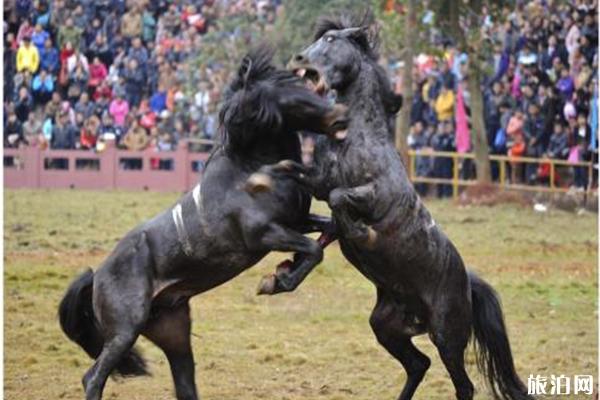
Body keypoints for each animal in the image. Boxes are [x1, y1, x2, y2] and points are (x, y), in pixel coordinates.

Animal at [58, 47, 346, 400]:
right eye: (292, 98)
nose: (340, 115)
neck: (249, 170)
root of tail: (97, 276)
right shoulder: (264, 234)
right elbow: (314, 251)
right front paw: (276, 280)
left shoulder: (297, 221)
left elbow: (328, 231)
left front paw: (286, 268)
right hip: (125, 331)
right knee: (94, 377)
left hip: (174, 335)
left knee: (184, 384)